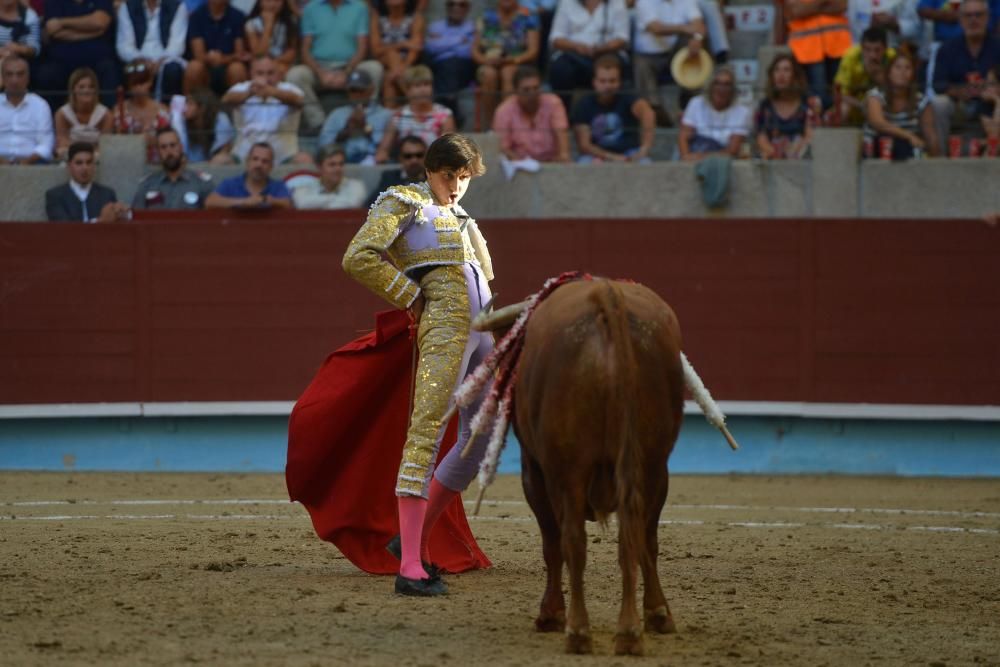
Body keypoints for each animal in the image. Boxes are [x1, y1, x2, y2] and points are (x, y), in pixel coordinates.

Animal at [476, 278, 688, 656]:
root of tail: (606, 294)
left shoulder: (534, 472)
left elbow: (552, 544)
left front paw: (550, 614)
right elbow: (646, 542)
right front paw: (658, 614)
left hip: (567, 469)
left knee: (573, 539)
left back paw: (578, 631)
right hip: (652, 463)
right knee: (638, 535)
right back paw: (634, 629)